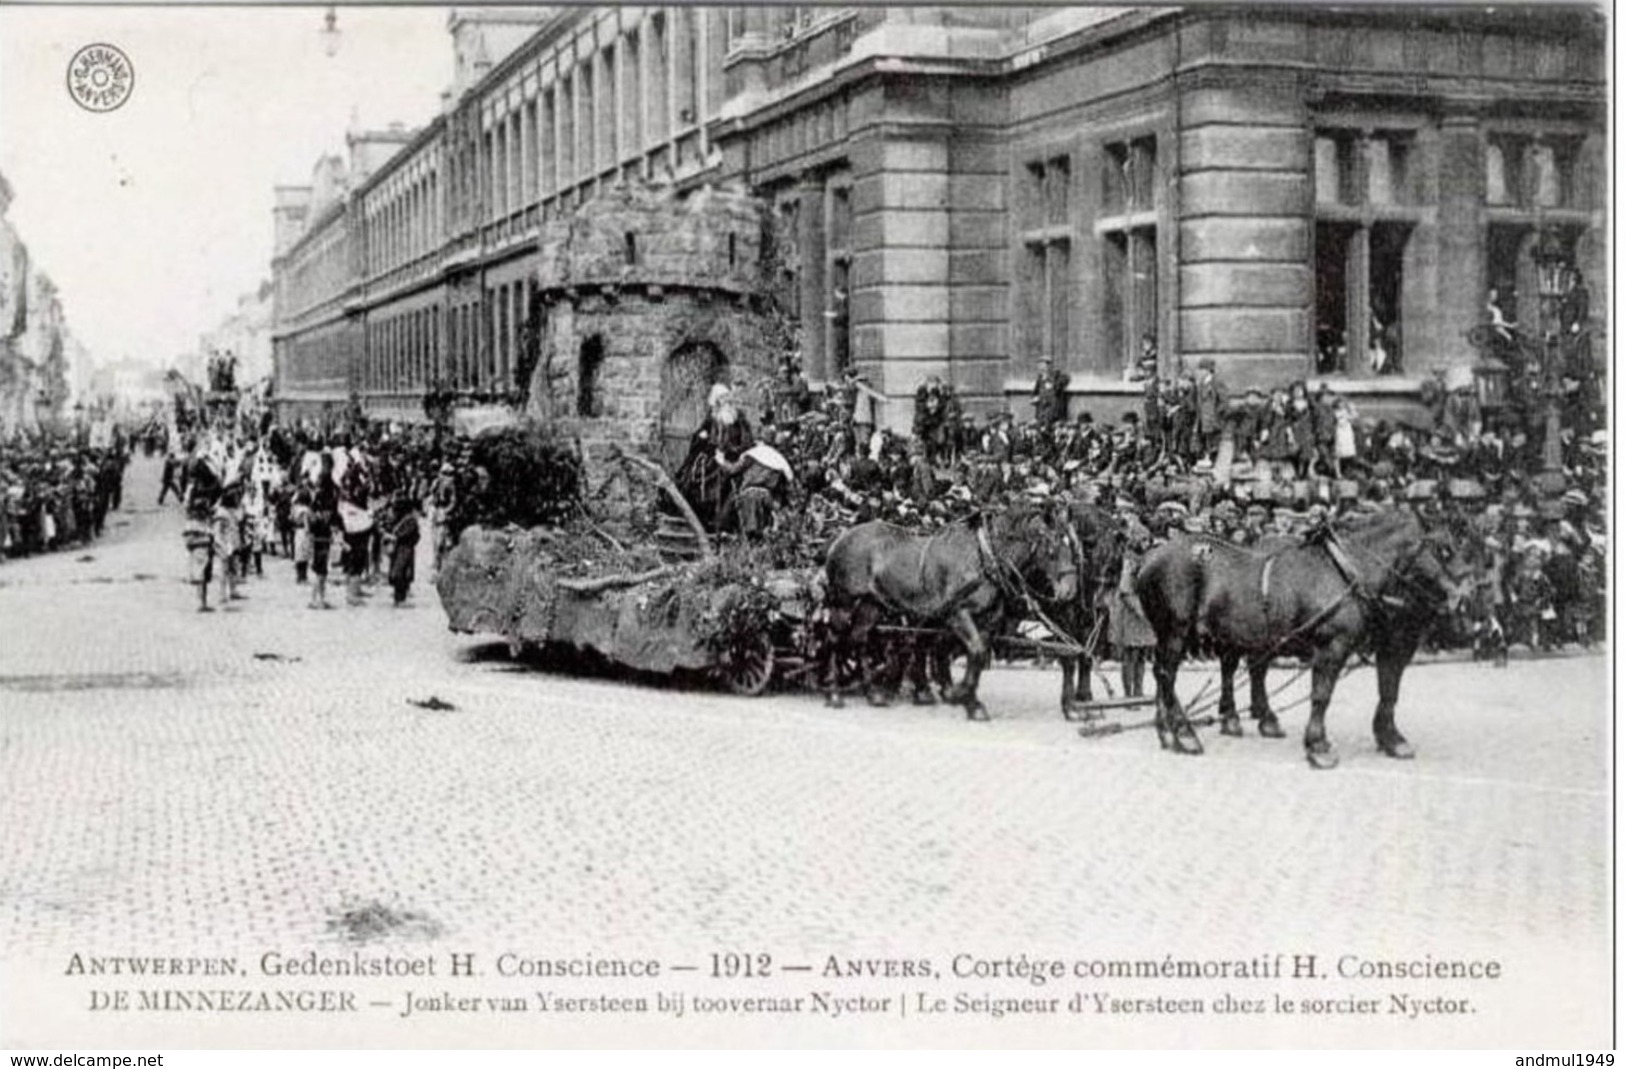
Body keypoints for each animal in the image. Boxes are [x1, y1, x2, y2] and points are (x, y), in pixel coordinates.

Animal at [825, 503, 1079, 721]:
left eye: (1072, 545)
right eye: (1053, 546)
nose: (1069, 590)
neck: (983, 557)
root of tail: (841, 538)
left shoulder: (986, 620)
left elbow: (977, 656)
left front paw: (972, 703)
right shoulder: (958, 614)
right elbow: (974, 652)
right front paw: (957, 694)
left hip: (872, 604)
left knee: (858, 639)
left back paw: (873, 694)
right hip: (843, 602)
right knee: (836, 639)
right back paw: (834, 693)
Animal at [1131, 506, 1462, 766]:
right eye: (1444, 549)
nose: (1460, 598)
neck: (1347, 571)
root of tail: (1148, 559)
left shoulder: (1388, 645)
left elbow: (1387, 690)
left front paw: (1391, 739)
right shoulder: (1333, 646)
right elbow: (1322, 694)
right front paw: (1318, 747)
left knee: (1173, 674)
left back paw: (1170, 733)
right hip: (1176, 632)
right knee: (1167, 675)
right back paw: (1185, 734)